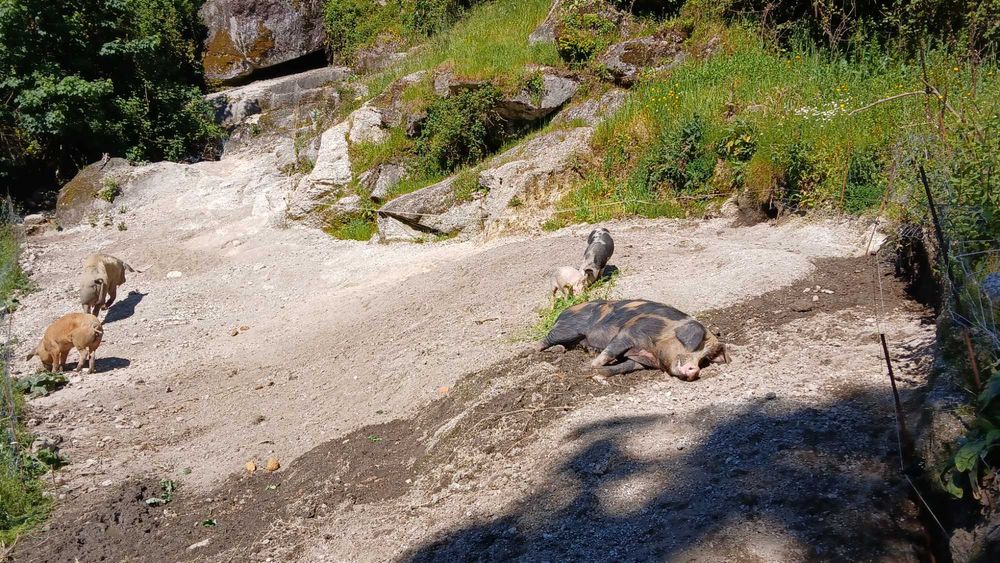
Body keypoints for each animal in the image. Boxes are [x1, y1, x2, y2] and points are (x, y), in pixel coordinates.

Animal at [537, 299, 729, 380]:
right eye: (696, 345)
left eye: (704, 359)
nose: (695, 371)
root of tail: (564, 311)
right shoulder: (629, 332)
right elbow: (610, 351)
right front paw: (589, 367)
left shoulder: (641, 360)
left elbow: (624, 367)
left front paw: (599, 373)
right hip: (568, 329)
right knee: (544, 340)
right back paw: (542, 349)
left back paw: (566, 350)